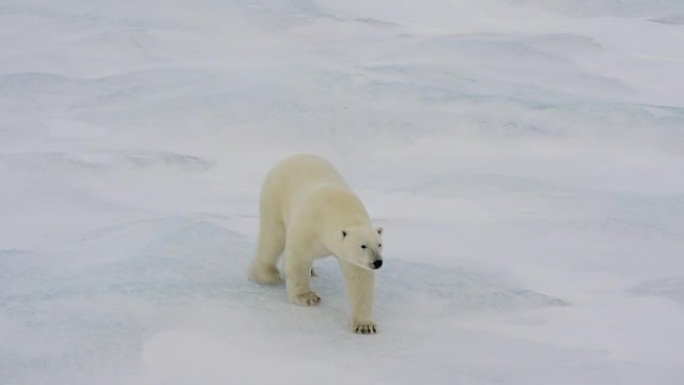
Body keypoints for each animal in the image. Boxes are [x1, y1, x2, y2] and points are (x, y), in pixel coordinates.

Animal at [248, 153, 384, 332]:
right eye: (363, 245)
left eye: (380, 244)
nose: (377, 262)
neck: (339, 207)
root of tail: (293, 157)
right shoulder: (309, 226)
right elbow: (298, 256)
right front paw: (307, 297)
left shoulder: (352, 256)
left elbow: (359, 278)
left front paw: (365, 326)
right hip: (274, 198)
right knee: (273, 236)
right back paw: (266, 274)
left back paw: (311, 271)